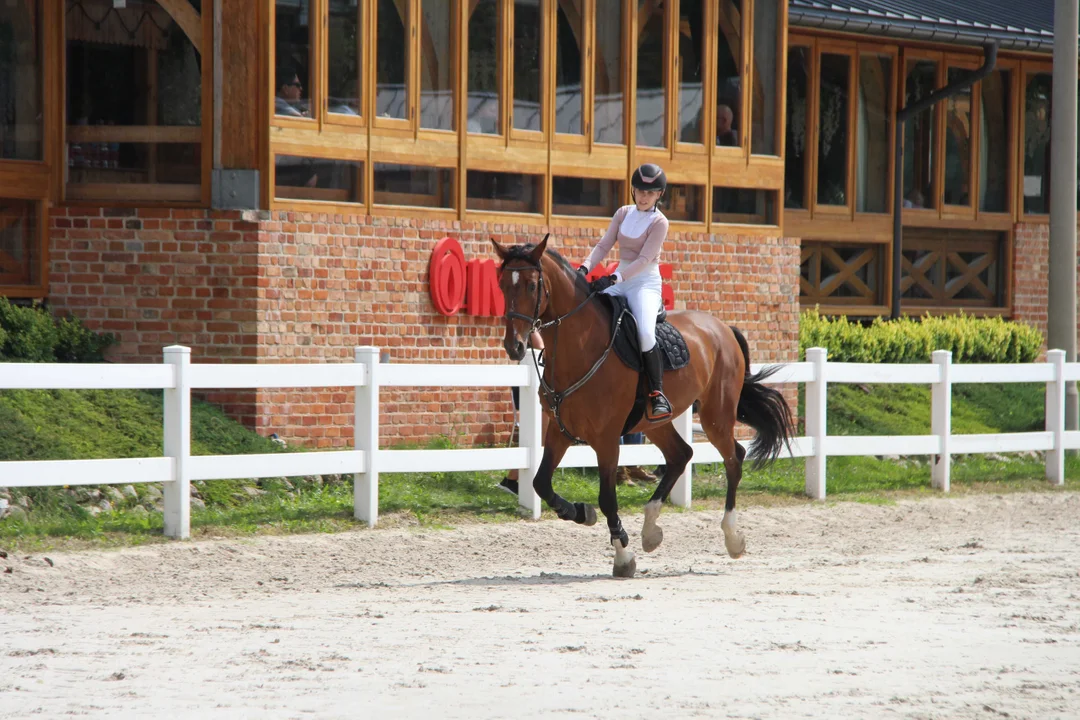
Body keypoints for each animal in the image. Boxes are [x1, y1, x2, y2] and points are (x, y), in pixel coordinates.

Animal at [494, 236, 799, 578]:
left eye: (532, 285)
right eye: (502, 284)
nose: (515, 346)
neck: (580, 347)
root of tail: (722, 327)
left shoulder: (606, 439)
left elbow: (607, 498)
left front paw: (623, 556)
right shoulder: (560, 432)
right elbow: (541, 483)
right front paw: (582, 512)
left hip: (715, 416)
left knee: (734, 459)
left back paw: (732, 538)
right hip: (655, 422)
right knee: (681, 455)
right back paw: (651, 530)